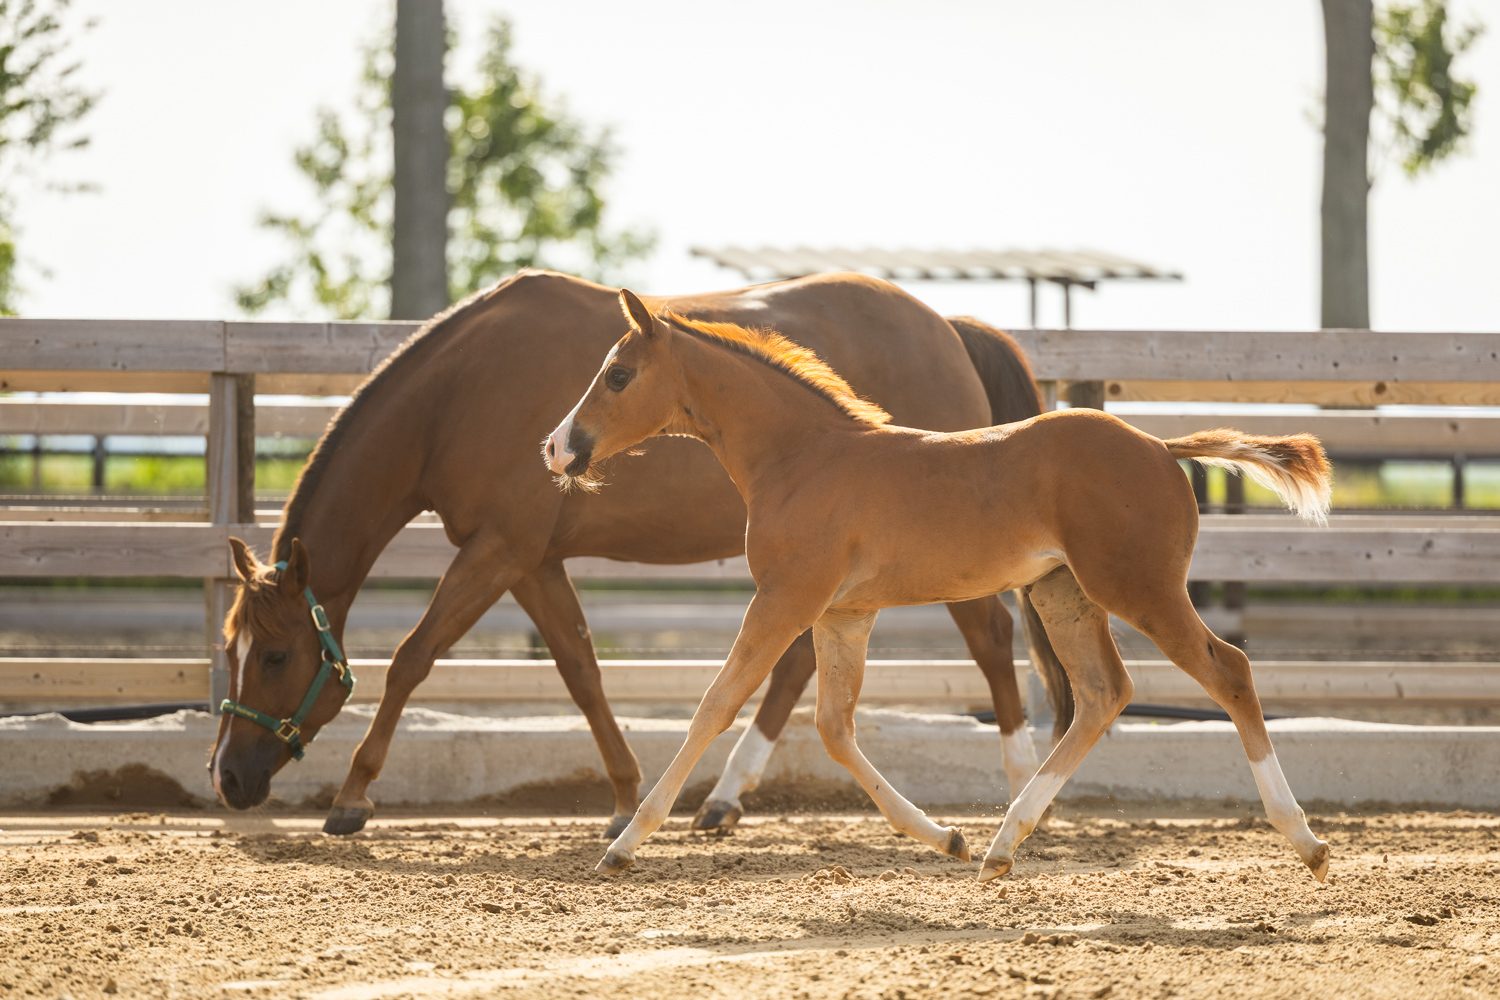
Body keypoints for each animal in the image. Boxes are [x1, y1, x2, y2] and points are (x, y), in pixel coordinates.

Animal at [208, 269, 1070, 838]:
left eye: (277, 656)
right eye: (232, 649)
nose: (229, 777)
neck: (458, 395)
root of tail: (949, 327)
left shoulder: (499, 549)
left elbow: (414, 657)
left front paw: (353, 796)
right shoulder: (533, 561)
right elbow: (581, 669)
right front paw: (626, 798)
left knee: (992, 640)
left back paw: (1021, 787)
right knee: (796, 663)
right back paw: (723, 798)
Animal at [545, 290, 1334, 882]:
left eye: (618, 374)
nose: (556, 447)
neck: (803, 456)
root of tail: (1160, 447)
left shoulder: (785, 599)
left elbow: (716, 705)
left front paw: (623, 844)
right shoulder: (843, 614)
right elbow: (834, 727)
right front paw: (945, 838)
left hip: (1139, 588)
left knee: (1228, 671)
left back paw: (1306, 841)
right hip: (1064, 594)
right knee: (1102, 693)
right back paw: (1000, 845)